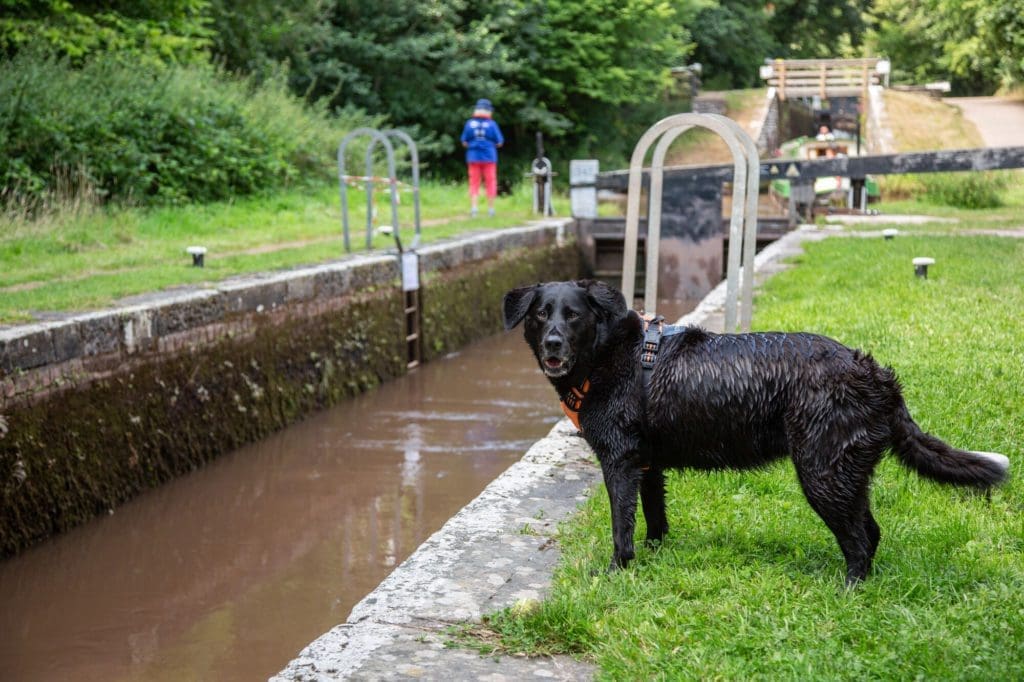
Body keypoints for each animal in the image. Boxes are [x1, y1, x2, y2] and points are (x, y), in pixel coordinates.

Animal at [503, 278, 1007, 581]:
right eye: (540, 314)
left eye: (573, 315)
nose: (552, 343)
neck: (612, 354)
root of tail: (875, 372)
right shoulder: (647, 464)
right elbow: (655, 520)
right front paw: (655, 557)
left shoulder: (620, 463)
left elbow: (620, 529)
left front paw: (616, 574)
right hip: (846, 473)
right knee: (872, 531)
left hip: (821, 473)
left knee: (859, 540)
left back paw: (848, 591)